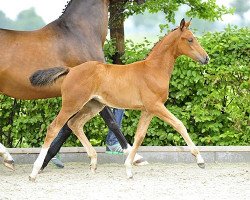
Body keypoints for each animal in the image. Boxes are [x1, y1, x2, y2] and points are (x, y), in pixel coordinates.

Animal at [0, 0, 141, 169]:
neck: (79, 34)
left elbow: (67, 126)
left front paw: (46, 160)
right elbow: (111, 121)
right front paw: (136, 157)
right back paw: (7, 157)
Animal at [28, 19, 209, 180]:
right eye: (190, 39)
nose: (206, 58)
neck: (153, 70)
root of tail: (71, 70)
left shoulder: (147, 110)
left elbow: (139, 136)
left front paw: (129, 168)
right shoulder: (156, 106)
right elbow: (179, 125)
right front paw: (200, 160)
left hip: (94, 106)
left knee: (74, 124)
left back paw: (93, 162)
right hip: (72, 104)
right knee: (54, 128)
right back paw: (34, 172)